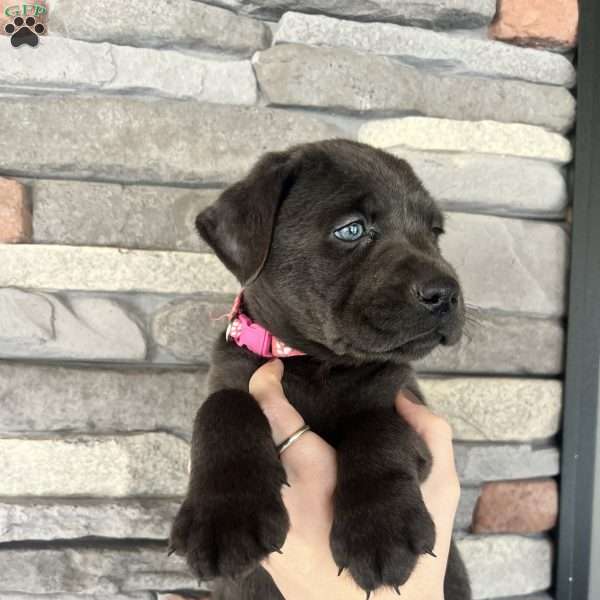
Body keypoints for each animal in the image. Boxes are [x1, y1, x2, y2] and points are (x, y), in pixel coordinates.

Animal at [170, 138, 474, 596]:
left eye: (435, 232)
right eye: (351, 229)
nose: (446, 292)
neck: (315, 365)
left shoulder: (404, 401)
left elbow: (379, 426)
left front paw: (380, 532)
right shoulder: (230, 375)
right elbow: (222, 408)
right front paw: (224, 519)